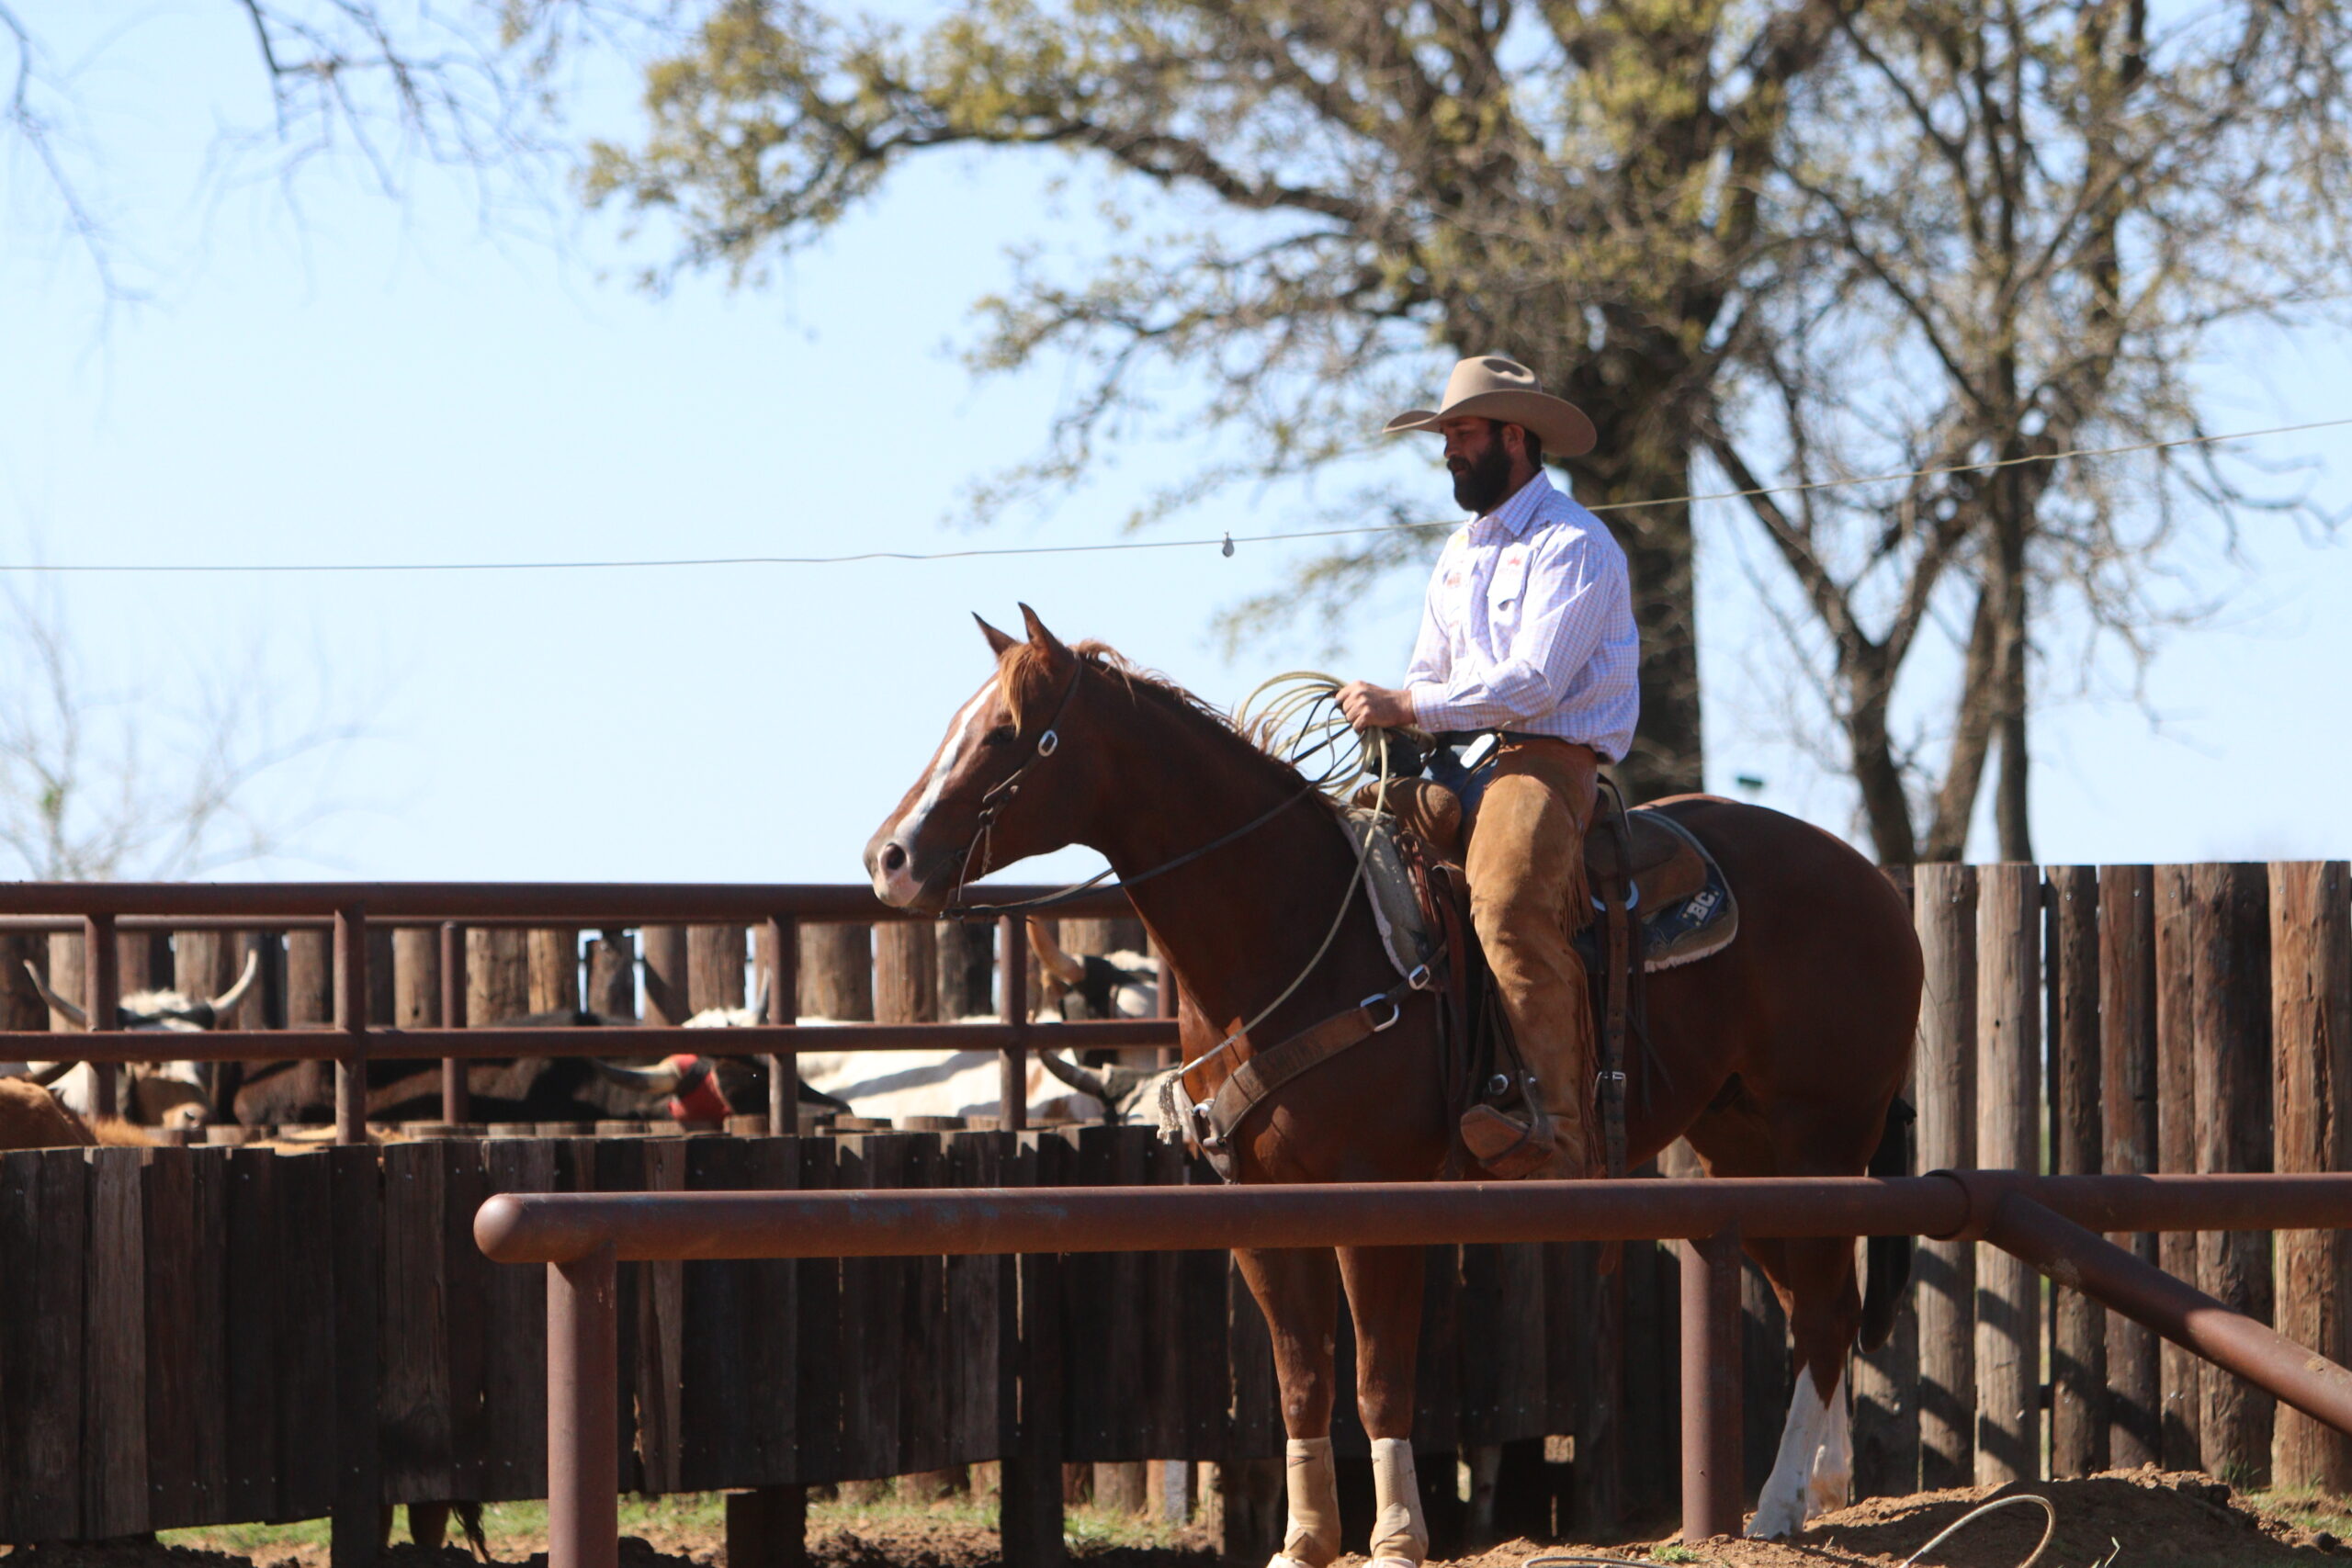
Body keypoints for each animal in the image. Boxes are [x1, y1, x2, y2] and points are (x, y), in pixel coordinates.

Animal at [870, 611, 1928, 1561]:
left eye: (1006, 733)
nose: (888, 857)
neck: (1293, 933)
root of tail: (1876, 883)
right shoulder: (1260, 1215)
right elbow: (1303, 1379)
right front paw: (1303, 1541)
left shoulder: (1378, 1203)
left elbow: (1379, 1375)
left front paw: (1396, 1537)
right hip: (1746, 1145)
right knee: (1818, 1310)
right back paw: (1826, 1482)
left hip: (1818, 1140)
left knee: (1824, 1310)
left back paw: (1780, 1503)